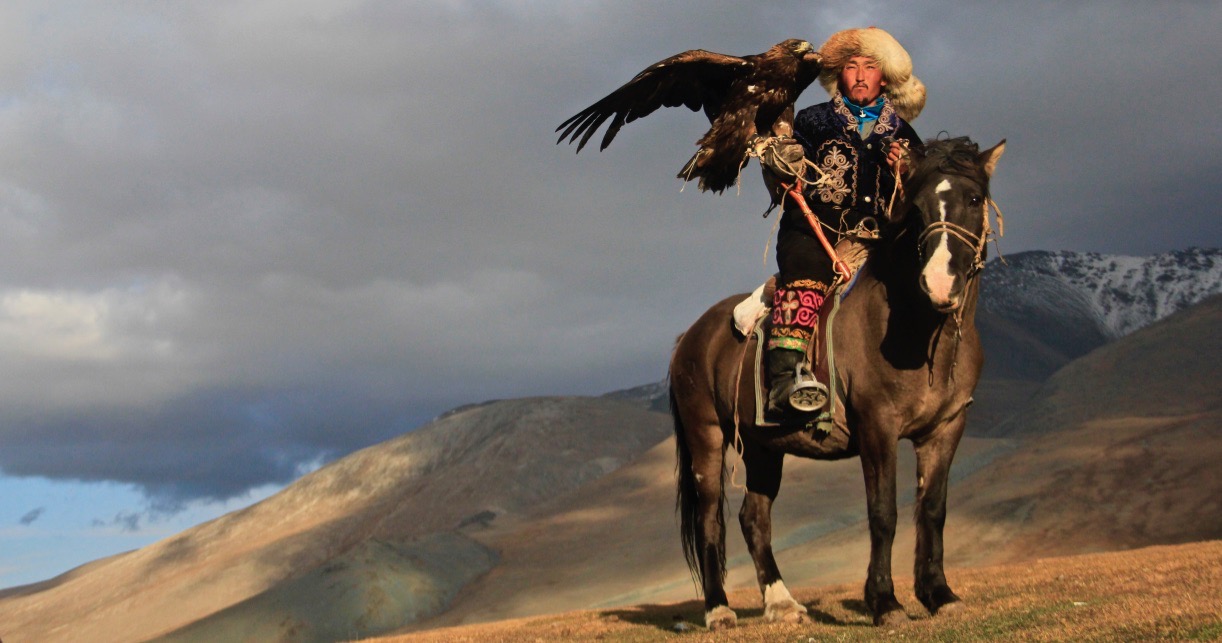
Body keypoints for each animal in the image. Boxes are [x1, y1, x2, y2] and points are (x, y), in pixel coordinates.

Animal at [669, 137, 1002, 630]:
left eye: (975, 199)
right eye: (917, 207)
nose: (940, 283)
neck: (916, 331)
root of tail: (689, 337)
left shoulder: (945, 430)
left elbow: (933, 510)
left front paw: (939, 594)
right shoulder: (878, 429)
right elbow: (883, 512)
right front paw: (885, 602)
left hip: (764, 446)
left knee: (754, 518)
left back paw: (782, 604)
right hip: (705, 436)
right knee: (711, 518)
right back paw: (719, 610)